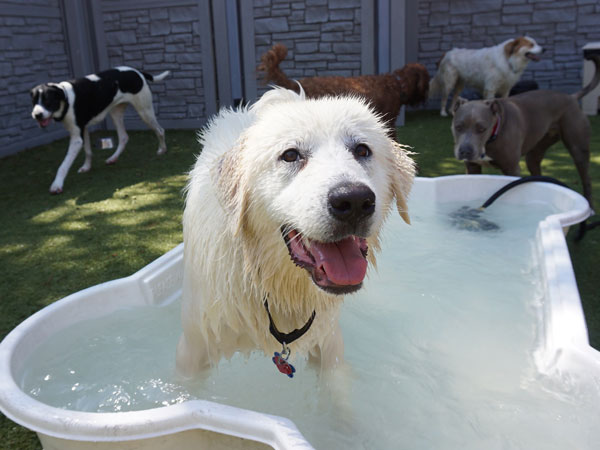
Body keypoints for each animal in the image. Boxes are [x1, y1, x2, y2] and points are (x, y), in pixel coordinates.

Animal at [31, 66, 170, 193]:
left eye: (48, 101)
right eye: (34, 102)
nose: (37, 115)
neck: (65, 98)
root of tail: (137, 71)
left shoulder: (77, 138)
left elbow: (63, 165)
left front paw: (57, 184)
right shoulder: (84, 129)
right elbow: (88, 151)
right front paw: (87, 167)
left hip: (144, 112)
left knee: (160, 130)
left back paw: (162, 149)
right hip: (116, 113)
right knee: (124, 137)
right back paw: (113, 158)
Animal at [452, 54, 596, 209]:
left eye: (481, 128)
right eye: (458, 127)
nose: (465, 151)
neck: (491, 138)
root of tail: (571, 97)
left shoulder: (512, 168)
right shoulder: (472, 167)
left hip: (578, 149)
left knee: (587, 179)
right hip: (534, 153)